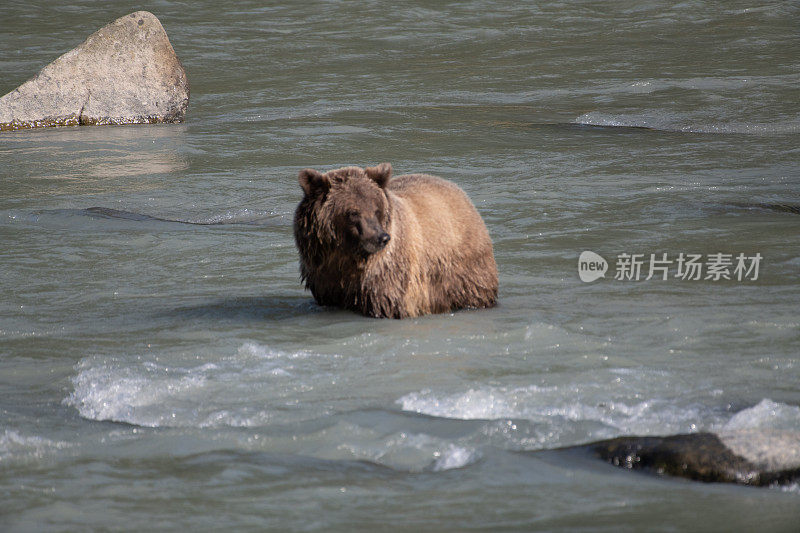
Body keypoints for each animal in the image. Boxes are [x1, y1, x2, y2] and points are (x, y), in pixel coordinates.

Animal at [290, 162, 496, 318]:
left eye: (376, 209)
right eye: (353, 212)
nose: (382, 238)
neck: (346, 257)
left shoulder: (387, 276)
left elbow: (388, 303)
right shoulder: (324, 277)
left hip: (463, 271)